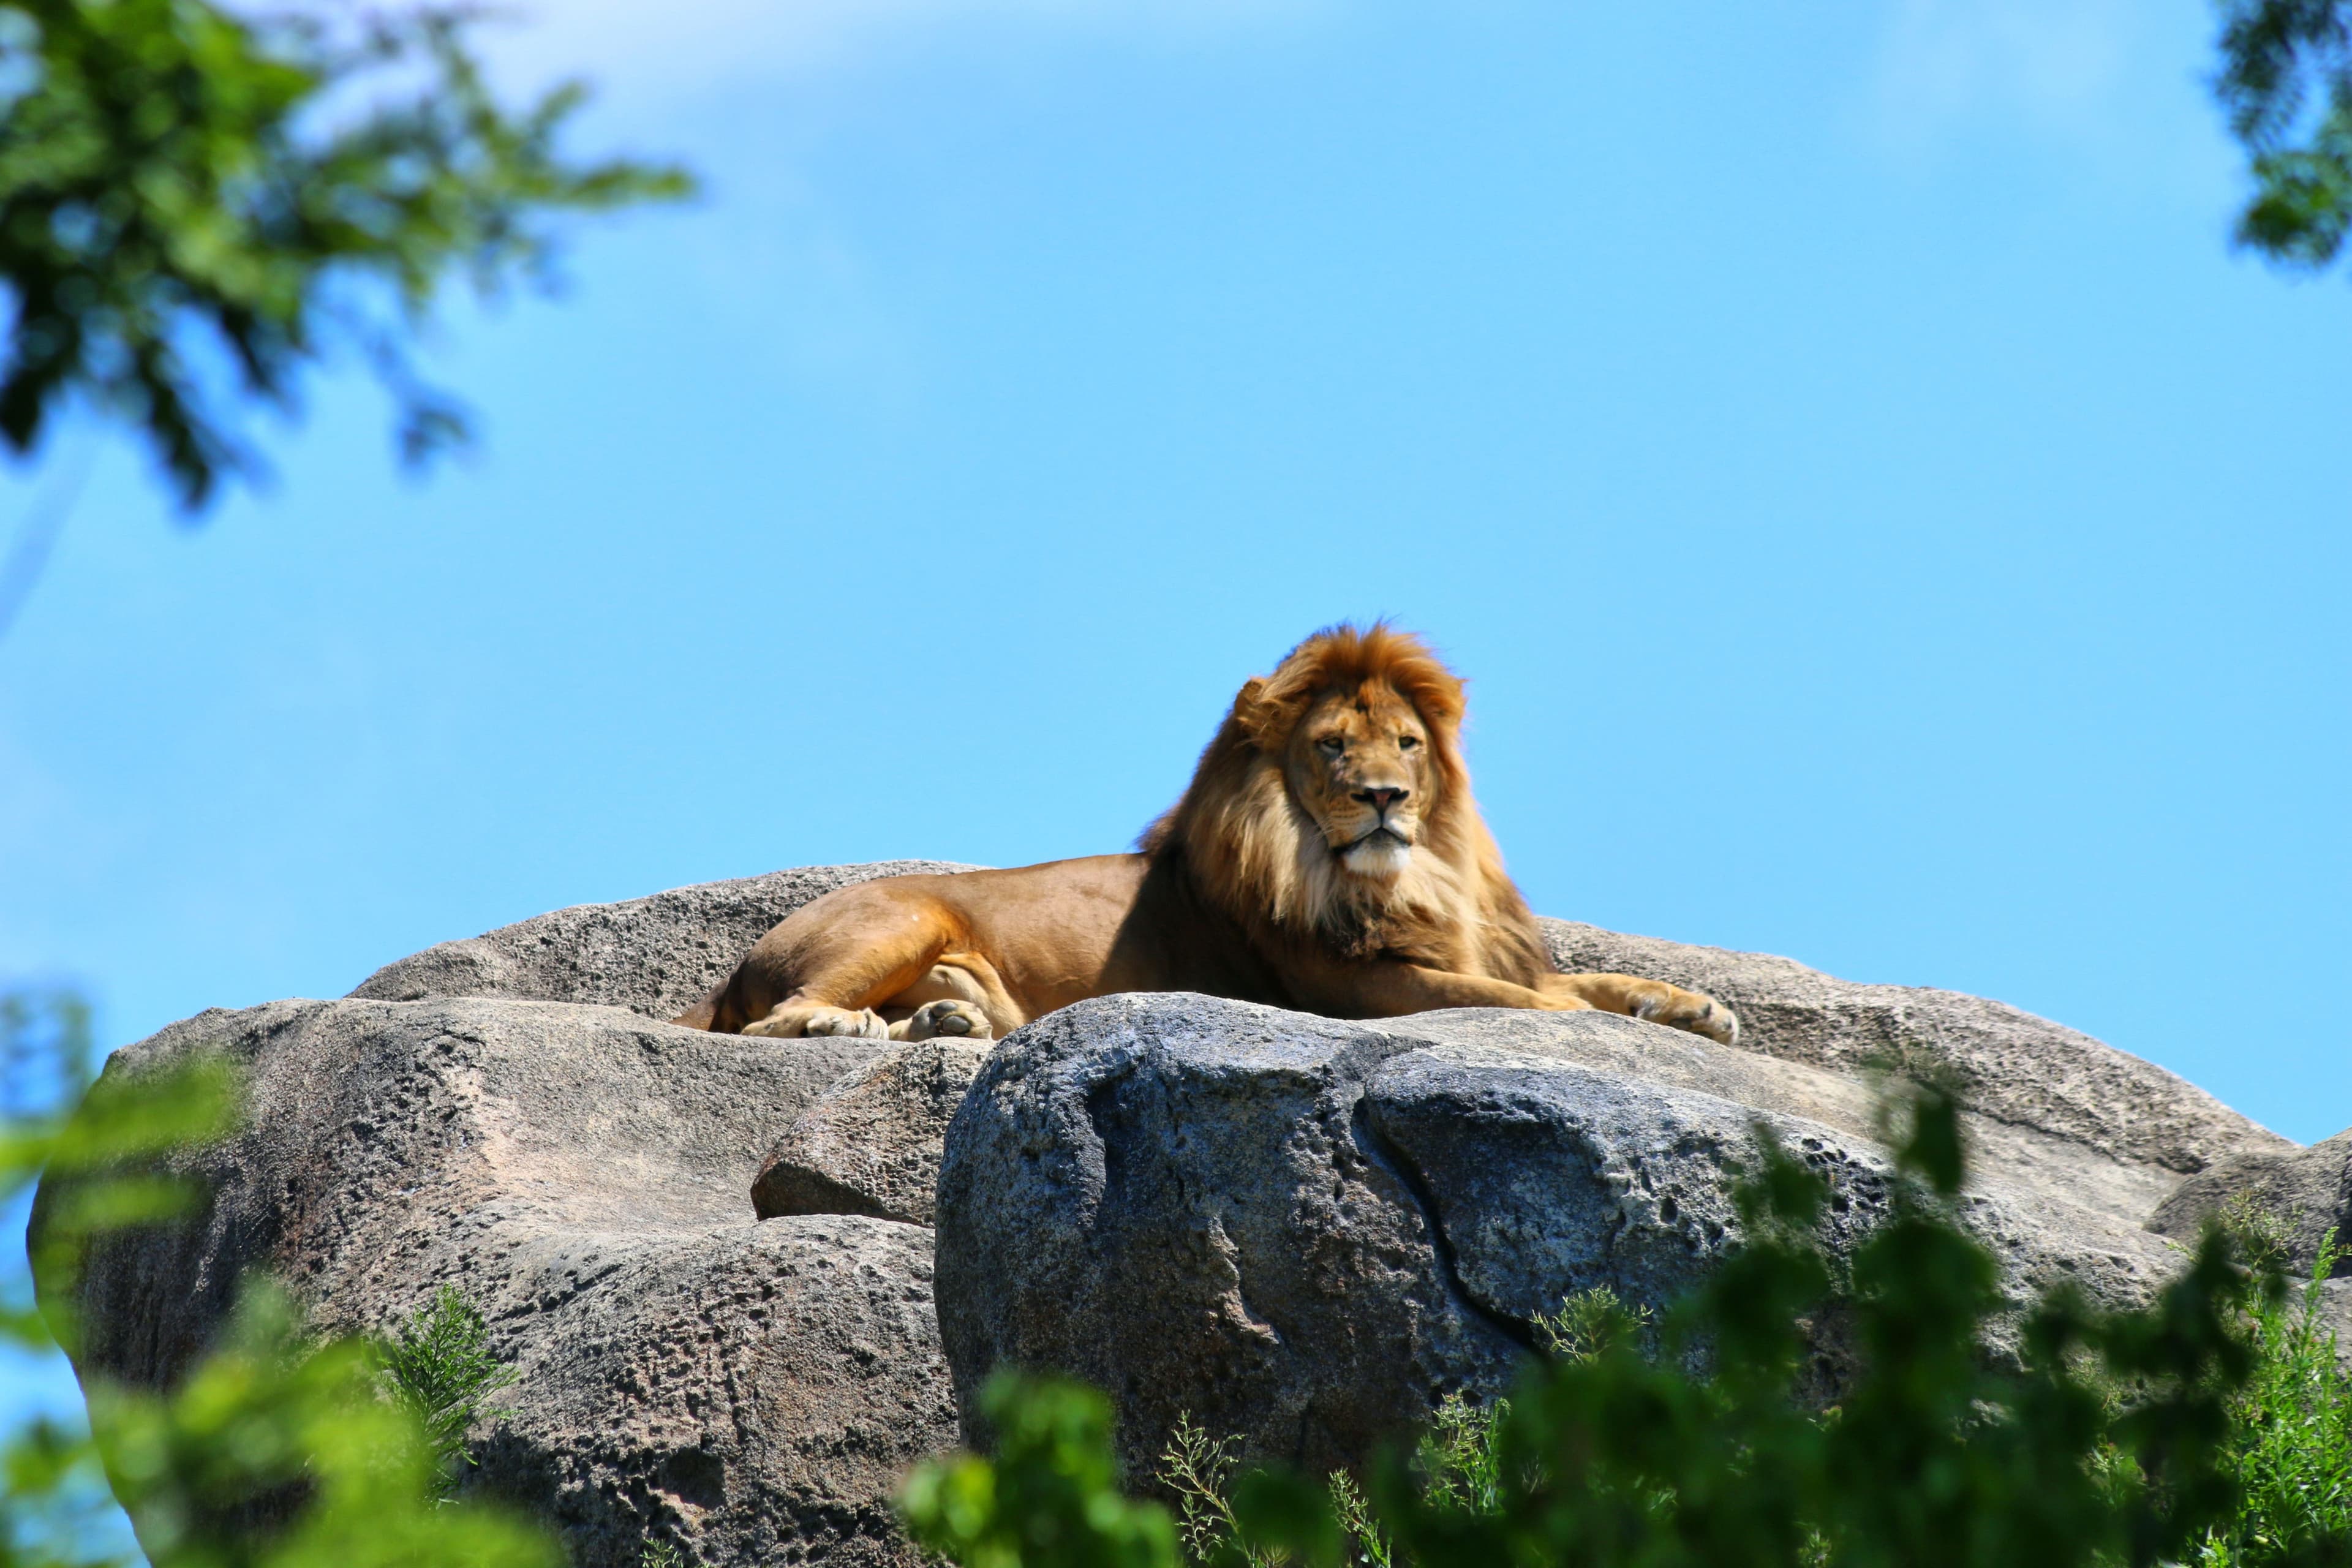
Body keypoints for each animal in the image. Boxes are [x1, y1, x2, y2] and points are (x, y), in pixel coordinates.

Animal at [673, 620, 1740, 1048]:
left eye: (1406, 742)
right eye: (1333, 747)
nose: (1388, 797)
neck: (1404, 877)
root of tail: (735, 965)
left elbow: (1584, 981)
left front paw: (1695, 1008)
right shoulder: (1361, 987)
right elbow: (1517, 1000)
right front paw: (1625, 1022)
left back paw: (945, 1024)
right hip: (901, 916)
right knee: (773, 1022)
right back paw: (841, 1024)